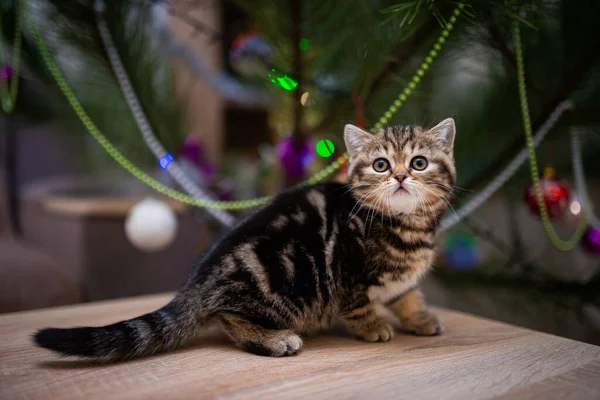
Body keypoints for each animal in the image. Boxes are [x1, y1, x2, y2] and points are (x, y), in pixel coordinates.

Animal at [34, 118, 454, 360]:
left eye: (418, 162)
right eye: (381, 165)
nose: (400, 176)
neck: (408, 224)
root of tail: (197, 284)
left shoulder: (403, 277)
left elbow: (407, 293)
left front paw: (419, 317)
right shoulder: (347, 273)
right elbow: (359, 305)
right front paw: (372, 327)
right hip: (287, 279)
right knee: (228, 317)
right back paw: (275, 340)